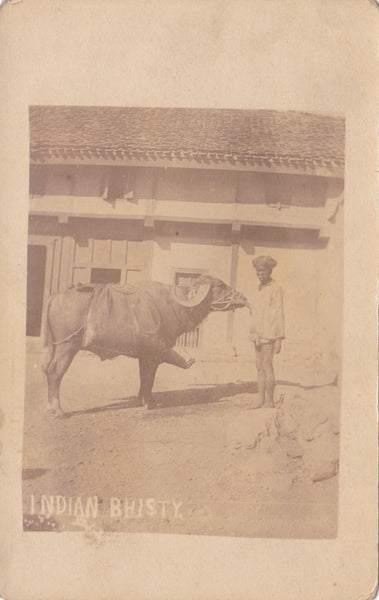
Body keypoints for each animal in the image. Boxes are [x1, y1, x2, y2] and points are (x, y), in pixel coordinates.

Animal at [43, 276, 248, 412]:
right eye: (220, 285)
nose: (244, 297)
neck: (172, 305)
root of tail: (54, 297)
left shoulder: (145, 356)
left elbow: (143, 378)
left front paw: (141, 400)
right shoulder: (154, 353)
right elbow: (150, 379)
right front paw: (150, 403)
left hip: (56, 347)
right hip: (67, 347)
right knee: (54, 372)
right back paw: (58, 411)